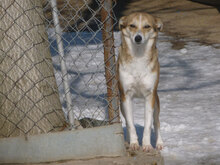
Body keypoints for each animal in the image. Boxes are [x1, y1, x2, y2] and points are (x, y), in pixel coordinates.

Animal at [117, 12, 163, 152]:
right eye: (132, 25)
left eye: (147, 26)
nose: (138, 38)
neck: (138, 56)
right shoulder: (126, 96)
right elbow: (130, 123)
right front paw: (134, 143)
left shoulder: (149, 96)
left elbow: (148, 125)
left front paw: (147, 145)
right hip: (121, 103)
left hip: (156, 102)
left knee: (157, 122)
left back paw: (159, 143)